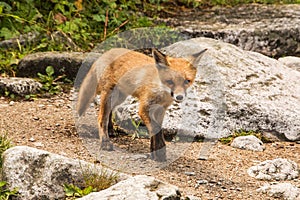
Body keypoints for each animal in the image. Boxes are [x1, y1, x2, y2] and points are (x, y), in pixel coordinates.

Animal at [76, 47, 206, 162]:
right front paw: (160, 152)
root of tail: (106, 52)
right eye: (170, 81)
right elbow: (156, 128)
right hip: (109, 94)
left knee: (109, 113)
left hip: (120, 97)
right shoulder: (143, 108)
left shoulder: (160, 110)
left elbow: (156, 130)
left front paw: (154, 151)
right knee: (101, 117)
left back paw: (110, 129)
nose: (179, 97)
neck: (160, 91)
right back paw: (105, 142)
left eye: (187, 81)